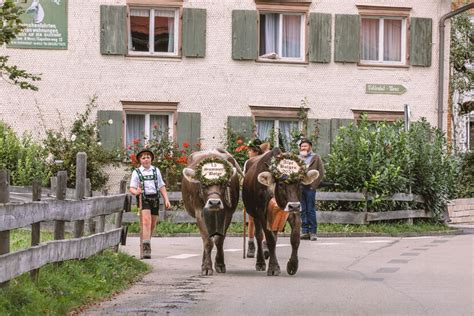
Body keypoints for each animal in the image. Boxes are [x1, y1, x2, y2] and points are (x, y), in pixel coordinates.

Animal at [244, 147, 318, 276]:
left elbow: (295, 238)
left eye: (299, 183)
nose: (294, 206)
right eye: (281, 184)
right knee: (259, 236)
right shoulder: (262, 213)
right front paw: (273, 267)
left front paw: (293, 265)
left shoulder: (294, 212)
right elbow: (270, 239)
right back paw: (260, 262)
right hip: (254, 214)